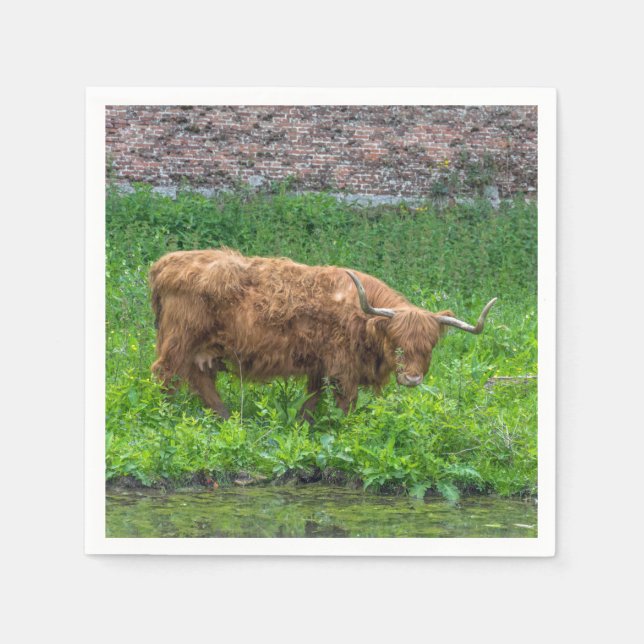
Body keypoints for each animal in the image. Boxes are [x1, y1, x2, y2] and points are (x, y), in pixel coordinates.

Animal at [149, 248, 497, 420]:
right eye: (397, 343)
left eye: (429, 346)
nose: (412, 379)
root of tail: (165, 263)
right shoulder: (342, 366)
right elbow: (346, 404)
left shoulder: (319, 365)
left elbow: (311, 401)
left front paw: (302, 425)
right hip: (179, 339)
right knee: (166, 374)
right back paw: (165, 416)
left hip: (202, 350)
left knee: (200, 380)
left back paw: (226, 417)